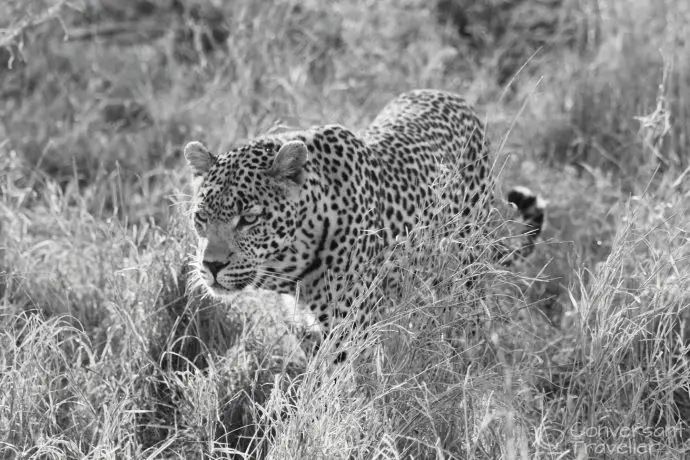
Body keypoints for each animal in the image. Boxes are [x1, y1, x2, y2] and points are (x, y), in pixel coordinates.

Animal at [181, 89, 544, 362]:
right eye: (201, 218)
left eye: (249, 218)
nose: (211, 266)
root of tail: (452, 96)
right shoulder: (307, 331)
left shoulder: (347, 333)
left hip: (470, 267)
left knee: (472, 321)